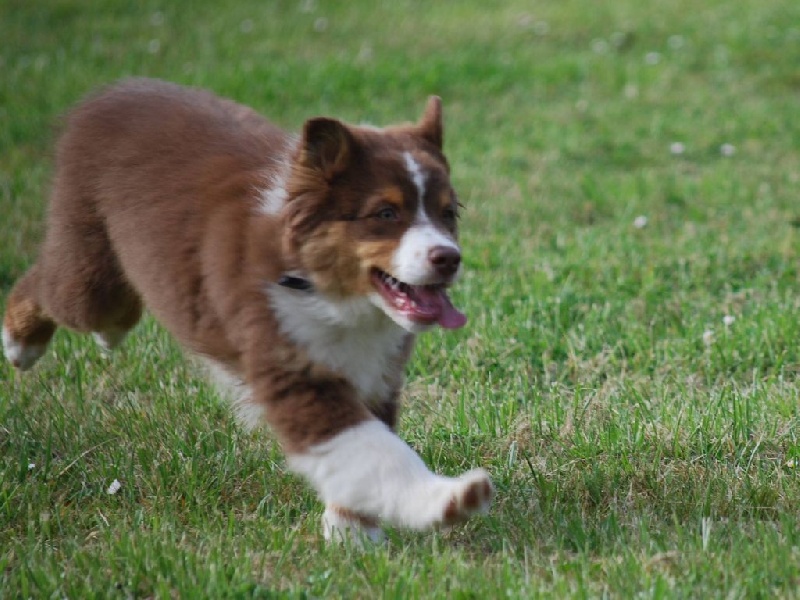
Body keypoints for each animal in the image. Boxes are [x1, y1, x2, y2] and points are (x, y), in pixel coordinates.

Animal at [1, 77, 494, 540]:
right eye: (386, 214)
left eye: (448, 213)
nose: (449, 258)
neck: (329, 294)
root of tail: (109, 93)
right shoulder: (290, 368)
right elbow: (373, 451)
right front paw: (449, 499)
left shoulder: (376, 373)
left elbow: (365, 450)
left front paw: (352, 533)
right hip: (89, 273)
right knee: (51, 284)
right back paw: (19, 344)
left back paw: (106, 335)